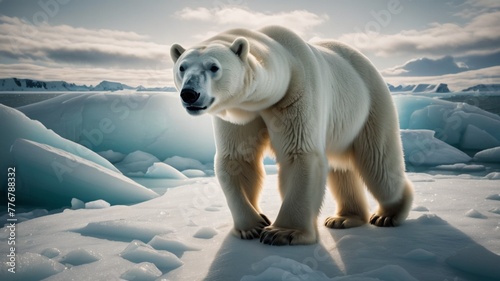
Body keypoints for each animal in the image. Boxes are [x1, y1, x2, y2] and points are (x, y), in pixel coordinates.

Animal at [170, 26, 412, 245]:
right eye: (182, 67)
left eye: (214, 67)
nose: (189, 94)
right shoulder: (239, 115)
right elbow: (237, 159)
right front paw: (253, 226)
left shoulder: (296, 94)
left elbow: (300, 153)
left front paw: (282, 232)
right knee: (342, 165)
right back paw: (343, 218)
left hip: (371, 104)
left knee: (378, 164)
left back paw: (387, 214)